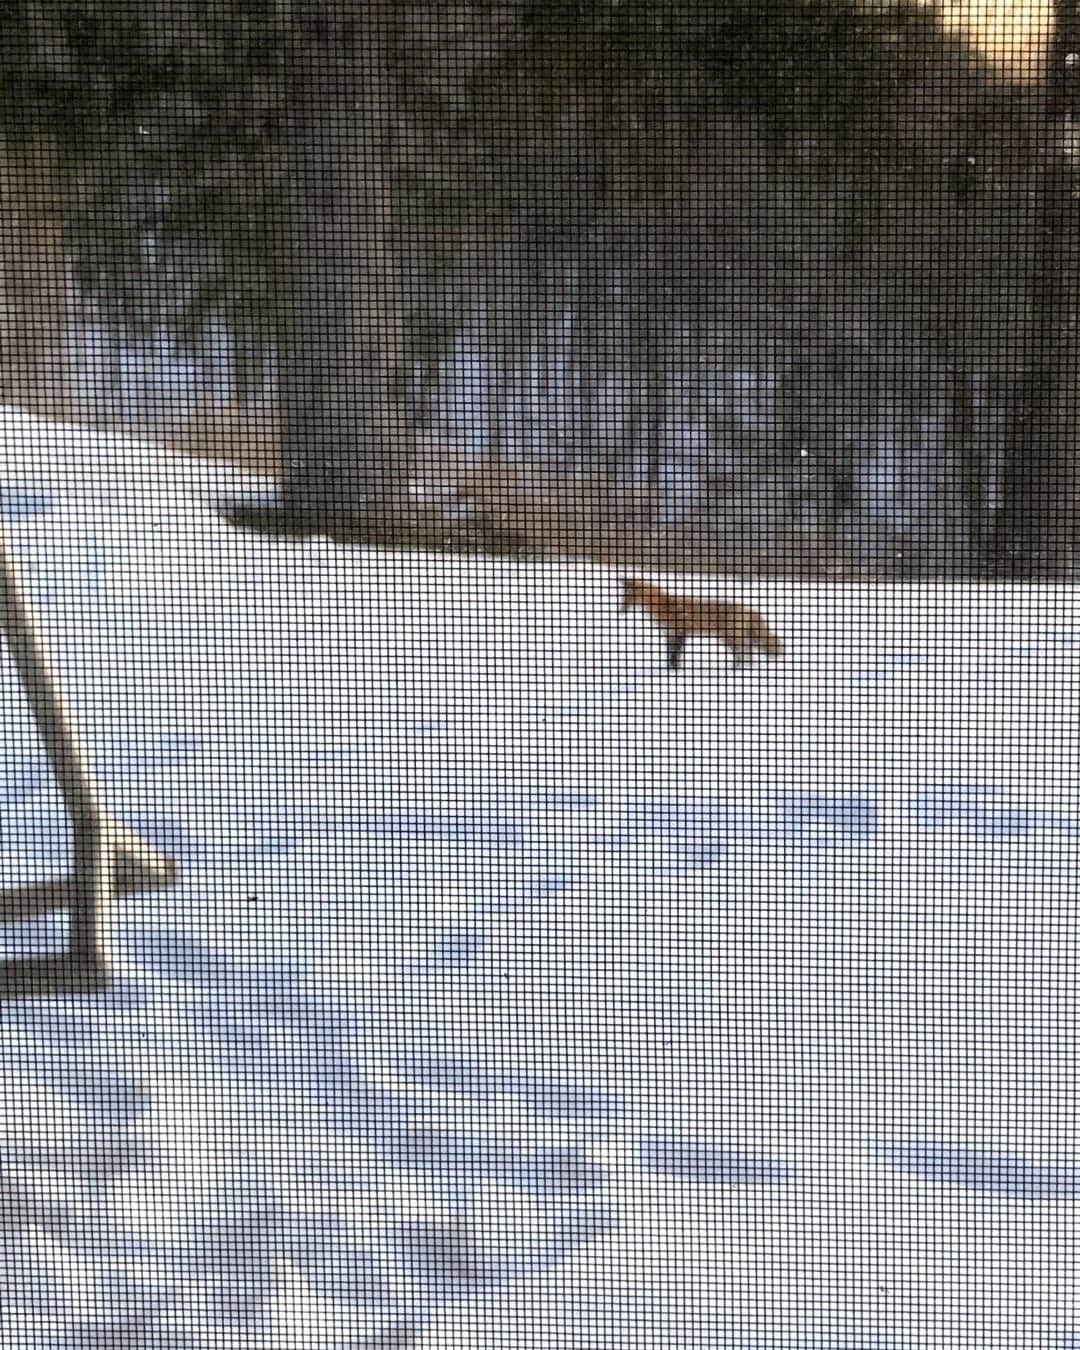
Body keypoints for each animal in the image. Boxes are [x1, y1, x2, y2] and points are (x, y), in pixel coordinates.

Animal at [621, 577, 783, 672]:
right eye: (622, 595)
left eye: (628, 596)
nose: (620, 610)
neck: (664, 606)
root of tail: (747, 607)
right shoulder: (670, 634)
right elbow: (670, 655)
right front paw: (670, 670)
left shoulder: (680, 632)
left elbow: (675, 654)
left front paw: (675, 671)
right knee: (749, 654)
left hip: (729, 638)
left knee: (746, 654)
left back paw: (737, 670)